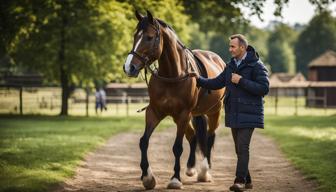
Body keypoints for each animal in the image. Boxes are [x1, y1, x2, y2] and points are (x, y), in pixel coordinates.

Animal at [122, 10, 224, 189]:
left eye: (149, 37)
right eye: (135, 36)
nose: (129, 67)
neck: (172, 75)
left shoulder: (183, 114)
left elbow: (177, 147)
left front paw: (175, 179)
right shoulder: (154, 112)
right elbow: (143, 141)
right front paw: (147, 177)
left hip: (213, 112)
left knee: (210, 137)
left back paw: (205, 171)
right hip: (185, 117)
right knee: (193, 137)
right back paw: (191, 168)